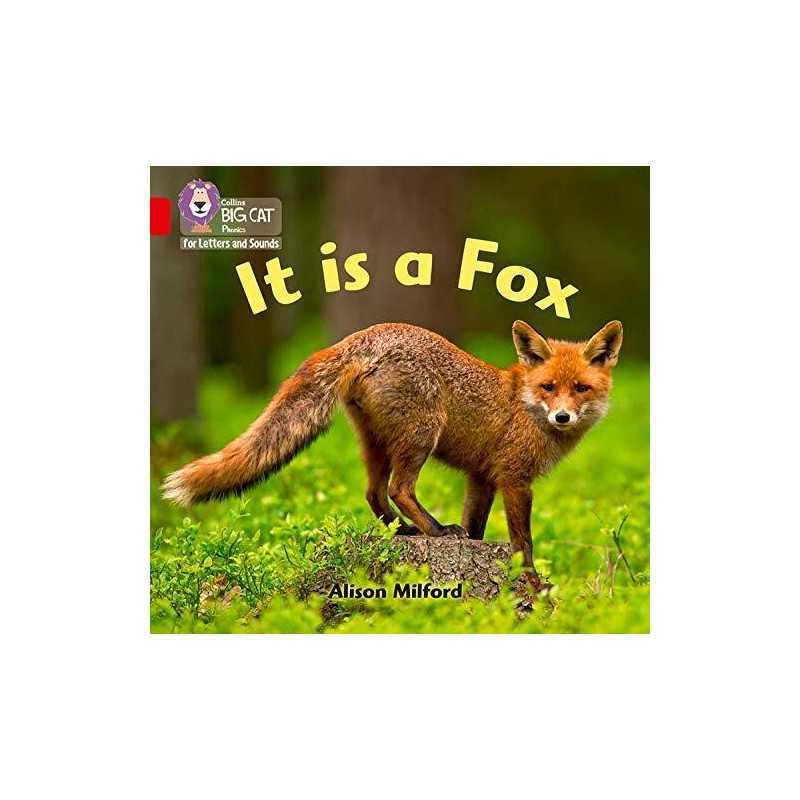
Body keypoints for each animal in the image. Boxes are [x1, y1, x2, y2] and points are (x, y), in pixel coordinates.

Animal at [163, 320, 623, 589]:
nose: (562, 416)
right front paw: (531, 582)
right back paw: (435, 531)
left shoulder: (481, 478)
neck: (524, 405)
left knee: (374, 493)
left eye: (581, 388)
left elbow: (477, 528)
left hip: (376, 444)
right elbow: (523, 540)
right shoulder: (514, 479)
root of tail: (364, 334)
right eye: (549, 387)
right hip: (420, 437)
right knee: (400, 489)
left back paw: (404, 531)